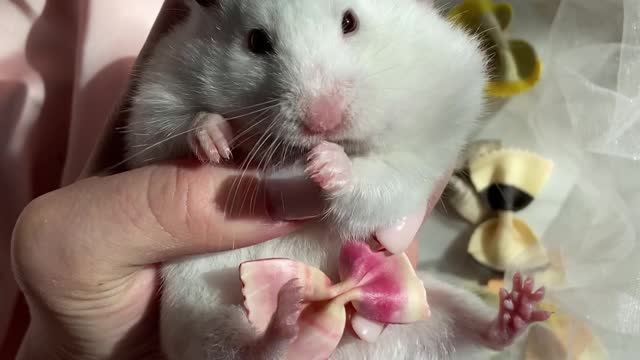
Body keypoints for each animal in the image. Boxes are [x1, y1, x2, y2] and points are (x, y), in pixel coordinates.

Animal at [124, 0, 552, 360]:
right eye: (257, 41)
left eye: (350, 22)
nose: (322, 122)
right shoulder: (157, 92)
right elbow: (176, 125)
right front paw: (216, 142)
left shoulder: (428, 135)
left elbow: (384, 178)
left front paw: (326, 164)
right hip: (199, 322)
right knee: (249, 350)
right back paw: (285, 318)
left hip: (439, 307)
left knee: (478, 333)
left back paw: (521, 306)